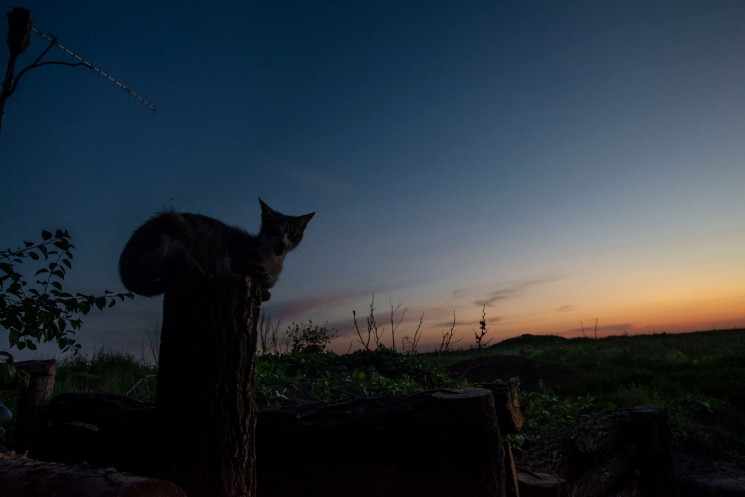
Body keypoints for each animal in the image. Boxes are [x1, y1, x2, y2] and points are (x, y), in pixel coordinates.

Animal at [118, 199, 314, 300]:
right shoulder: (240, 261)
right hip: (174, 234)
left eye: (293, 234)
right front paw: (265, 282)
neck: (274, 260)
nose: (281, 243)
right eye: (273, 231)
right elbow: (266, 278)